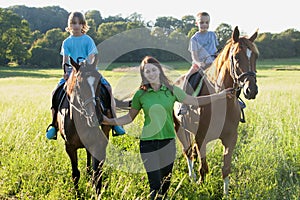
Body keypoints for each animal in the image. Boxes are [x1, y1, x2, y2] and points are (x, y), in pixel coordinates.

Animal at [56, 56, 112, 195]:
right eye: (80, 84)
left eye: (99, 82)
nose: (97, 117)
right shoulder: (69, 147)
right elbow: (75, 173)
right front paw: (77, 194)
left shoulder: (98, 144)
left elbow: (97, 173)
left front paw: (97, 193)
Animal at [175, 26, 258, 195]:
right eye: (236, 56)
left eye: (256, 57)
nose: (251, 90)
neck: (220, 98)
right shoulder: (201, 138)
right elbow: (203, 168)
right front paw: (200, 185)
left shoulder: (230, 138)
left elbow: (226, 168)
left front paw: (226, 194)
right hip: (179, 127)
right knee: (187, 152)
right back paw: (192, 176)